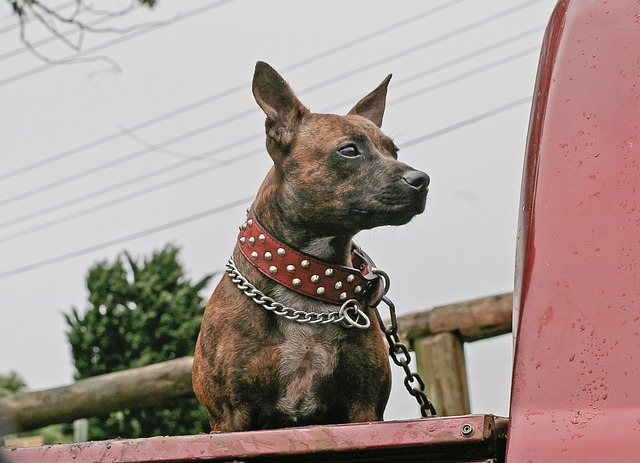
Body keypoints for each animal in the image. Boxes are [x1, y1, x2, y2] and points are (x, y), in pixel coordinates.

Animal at [191, 60, 430, 432]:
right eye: (349, 150)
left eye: (394, 151)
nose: (422, 180)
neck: (306, 276)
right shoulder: (230, 417)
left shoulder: (363, 408)